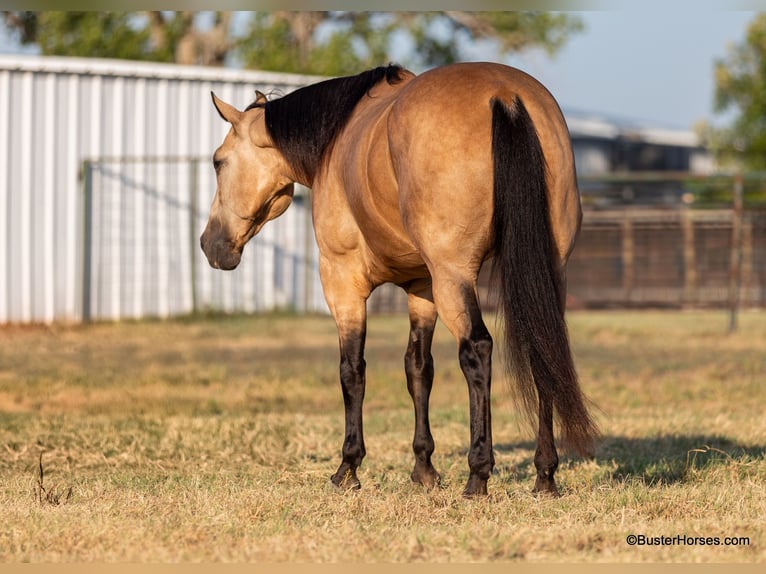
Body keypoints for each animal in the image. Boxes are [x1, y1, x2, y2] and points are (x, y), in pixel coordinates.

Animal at [200, 60, 600, 498]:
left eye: (218, 161)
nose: (209, 244)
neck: (336, 141)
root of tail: (506, 96)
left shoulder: (343, 283)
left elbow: (352, 370)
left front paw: (348, 468)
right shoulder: (421, 288)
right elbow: (418, 369)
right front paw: (424, 468)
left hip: (454, 276)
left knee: (477, 351)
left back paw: (478, 474)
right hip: (546, 272)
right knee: (542, 349)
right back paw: (545, 475)